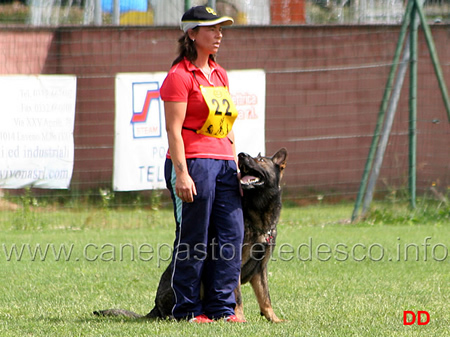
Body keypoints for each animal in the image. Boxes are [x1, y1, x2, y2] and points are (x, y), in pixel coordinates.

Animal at [93, 148, 286, 322]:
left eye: (261, 160)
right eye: (255, 158)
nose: (241, 155)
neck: (258, 216)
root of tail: (155, 307)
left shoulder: (260, 269)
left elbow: (265, 298)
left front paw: (274, 319)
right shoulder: (235, 265)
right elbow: (237, 298)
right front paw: (239, 318)